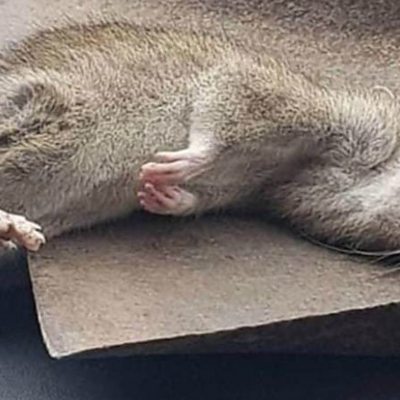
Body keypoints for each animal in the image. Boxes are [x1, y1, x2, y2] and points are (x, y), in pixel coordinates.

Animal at [0, 19, 398, 252]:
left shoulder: (244, 190)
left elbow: (199, 198)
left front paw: (170, 197)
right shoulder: (273, 97)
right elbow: (221, 115)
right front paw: (186, 163)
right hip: (47, 116)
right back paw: (9, 223)